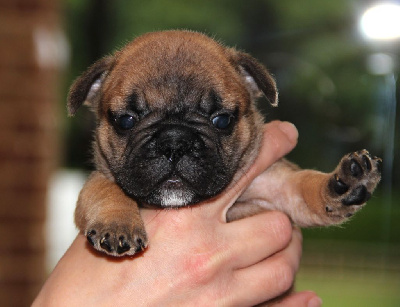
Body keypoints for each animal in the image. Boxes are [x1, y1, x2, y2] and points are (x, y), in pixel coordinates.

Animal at [67, 30, 380, 258]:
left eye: (222, 120)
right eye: (125, 121)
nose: (174, 141)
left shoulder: (278, 186)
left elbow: (306, 186)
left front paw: (343, 184)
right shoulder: (98, 180)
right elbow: (105, 188)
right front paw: (118, 223)